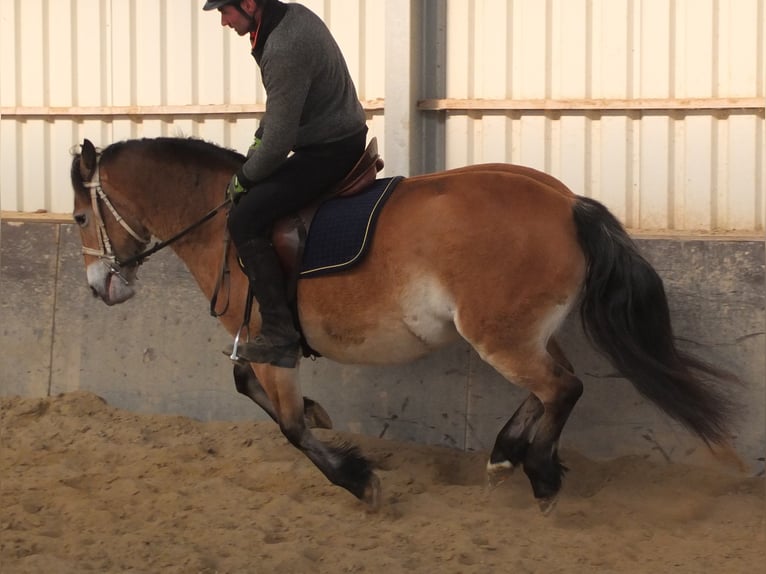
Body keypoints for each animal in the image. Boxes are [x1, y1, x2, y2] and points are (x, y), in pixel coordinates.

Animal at [70, 137, 736, 516]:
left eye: (79, 216)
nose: (100, 287)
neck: (221, 221)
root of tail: (568, 202)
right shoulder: (256, 345)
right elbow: (250, 391)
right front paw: (321, 414)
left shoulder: (269, 344)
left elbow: (287, 426)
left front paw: (357, 480)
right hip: (522, 330)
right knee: (553, 386)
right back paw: (505, 455)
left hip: (499, 334)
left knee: (561, 388)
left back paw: (541, 475)